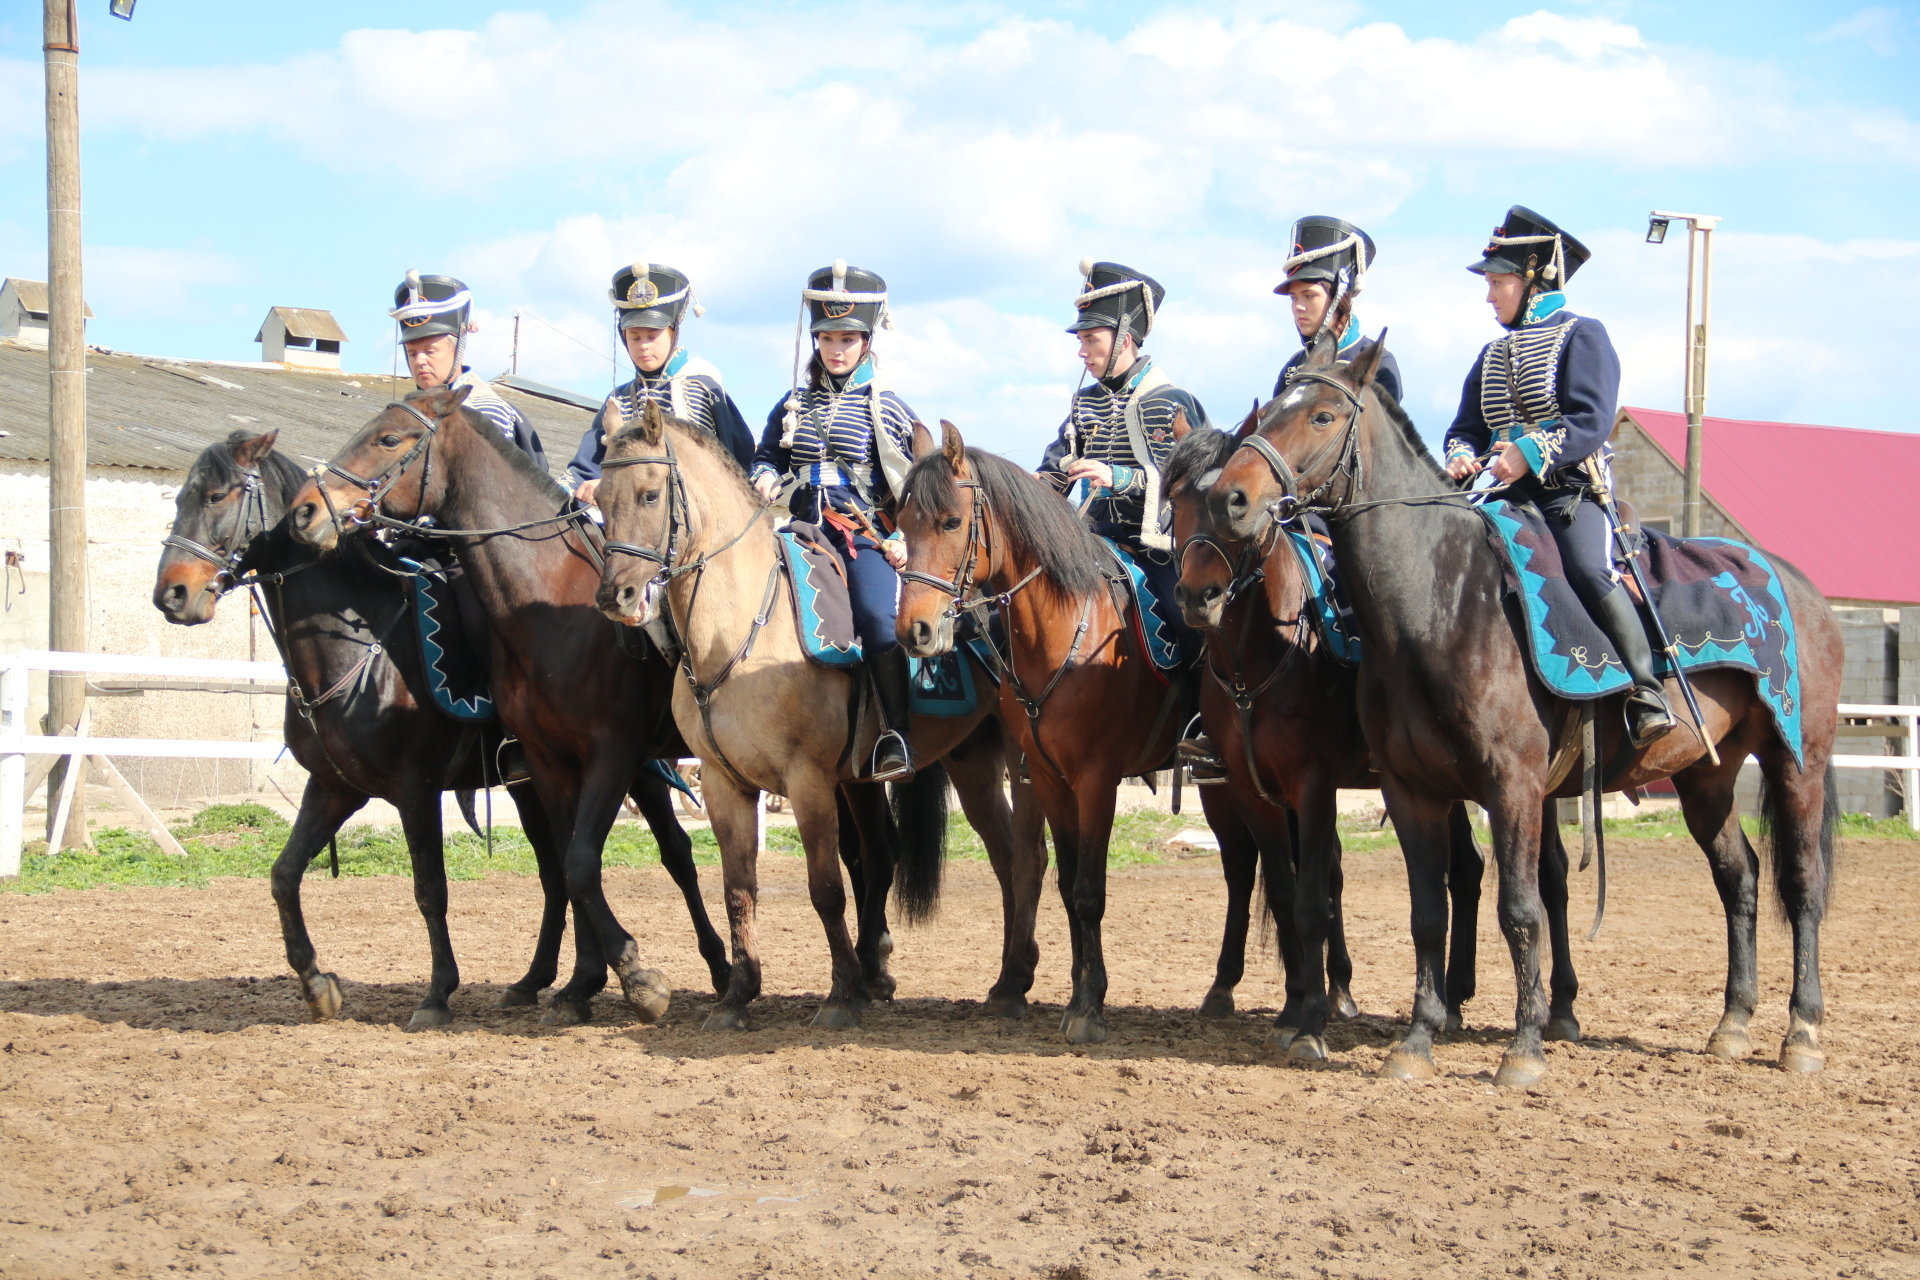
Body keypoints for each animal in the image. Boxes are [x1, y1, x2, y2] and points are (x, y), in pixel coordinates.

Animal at [280, 385, 729, 1028]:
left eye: (388, 438)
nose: (306, 513)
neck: (549, 607)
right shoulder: (549, 763)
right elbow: (572, 864)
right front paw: (582, 985)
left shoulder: (609, 755)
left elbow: (580, 863)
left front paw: (637, 978)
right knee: (660, 856)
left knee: (684, 854)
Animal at [587, 404, 1044, 1036]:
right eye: (601, 499)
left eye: (650, 494)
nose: (619, 596)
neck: (743, 630)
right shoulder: (724, 783)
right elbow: (738, 888)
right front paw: (738, 994)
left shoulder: (805, 781)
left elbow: (825, 888)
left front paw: (840, 994)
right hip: (963, 763)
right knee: (980, 855)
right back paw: (987, 974)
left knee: (1020, 856)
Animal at [890, 420, 1190, 1043]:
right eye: (902, 523)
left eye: (951, 522)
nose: (916, 632)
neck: (1070, 633)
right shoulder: (1049, 780)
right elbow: (1067, 885)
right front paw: (1081, 992)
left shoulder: (1097, 782)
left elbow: (1089, 892)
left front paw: (1090, 1008)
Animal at [1213, 335, 1843, 1090]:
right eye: (1274, 406)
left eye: (1323, 415)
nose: (1230, 498)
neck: (1444, 603)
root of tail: (1800, 587)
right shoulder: (1412, 791)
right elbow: (1428, 915)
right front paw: (1416, 1041)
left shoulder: (1512, 787)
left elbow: (1520, 911)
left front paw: (1523, 1048)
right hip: (1704, 778)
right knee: (1738, 878)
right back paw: (1733, 1022)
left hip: (1796, 762)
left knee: (1802, 885)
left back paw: (1801, 1031)